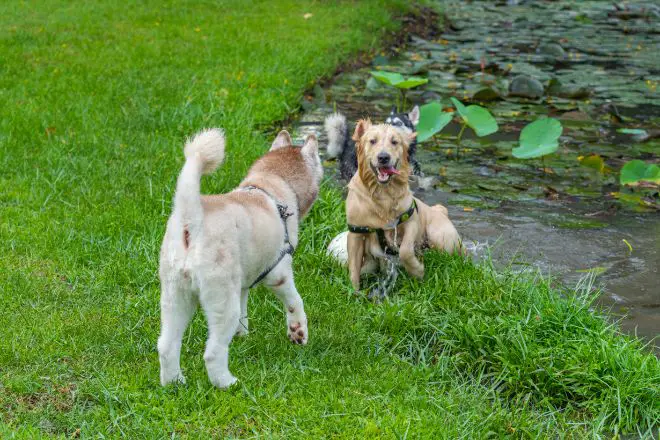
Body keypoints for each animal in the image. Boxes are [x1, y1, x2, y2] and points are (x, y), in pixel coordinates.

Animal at [160, 128, 324, 388]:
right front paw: (298, 332)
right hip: (221, 301)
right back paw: (227, 383)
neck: (270, 182)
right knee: (213, 352)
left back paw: (174, 383)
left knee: (167, 346)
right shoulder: (278, 274)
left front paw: (242, 335)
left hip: (175, 297)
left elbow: (244, 308)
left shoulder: (243, 284)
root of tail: (192, 220)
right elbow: (295, 301)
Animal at [338, 120, 462, 292]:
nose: (383, 157)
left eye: (394, 142)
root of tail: (440, 211)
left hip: (442, 237)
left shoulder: (410, 222)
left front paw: (417, 270)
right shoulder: (356, 232)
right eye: (372, 141)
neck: (382, 193)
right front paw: (354, 291)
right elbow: (354, 267)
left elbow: (405, 251)